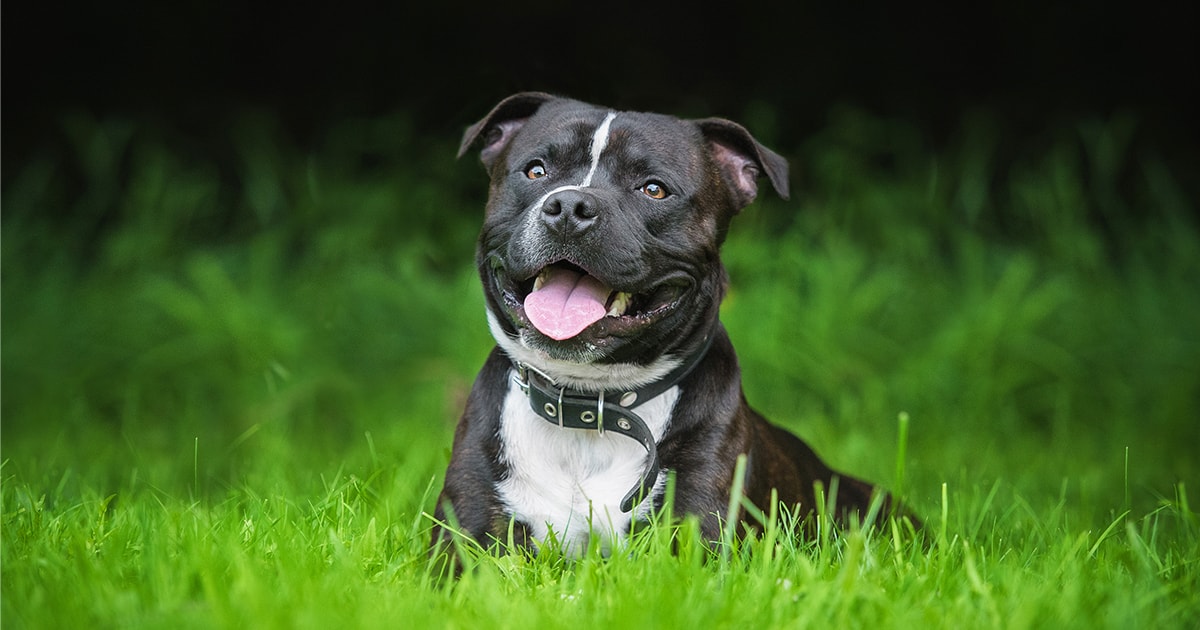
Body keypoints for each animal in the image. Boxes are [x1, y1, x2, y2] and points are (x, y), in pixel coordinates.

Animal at [432, 93, 907, 558]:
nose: (569, 206)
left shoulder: (699, 543)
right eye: (535, 170)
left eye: (654, 189)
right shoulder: (463, 543)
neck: (588, 405)